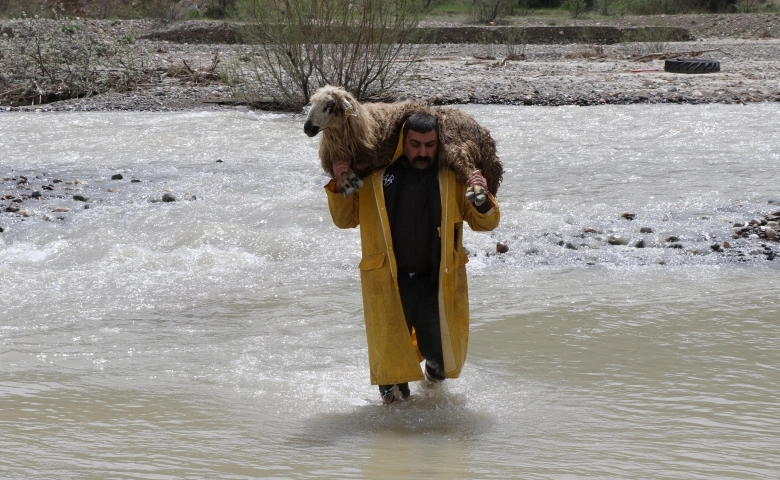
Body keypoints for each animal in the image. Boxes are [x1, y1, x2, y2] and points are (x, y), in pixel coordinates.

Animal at [302, 85, 502, 204]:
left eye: (329, 105)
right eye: (312, 103)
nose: (307, 127)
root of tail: (483, 135)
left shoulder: (374, 158)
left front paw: (351, 180)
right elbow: (343, 172)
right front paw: (348, 181)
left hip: (454, 145)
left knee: (470, 169)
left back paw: (477, 190)